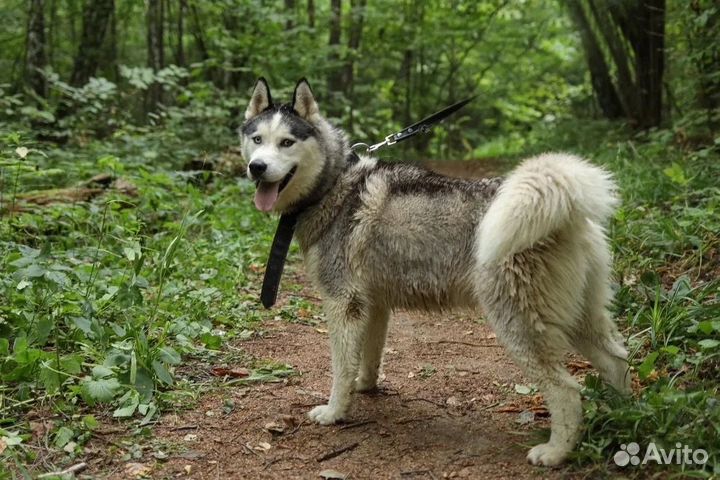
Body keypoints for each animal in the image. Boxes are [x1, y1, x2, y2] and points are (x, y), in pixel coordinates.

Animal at [242, 78, 632, 464]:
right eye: (257, 139)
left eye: (287, 142)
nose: (257, 167)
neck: (334, 183)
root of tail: (567, 212)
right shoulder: (373, 306)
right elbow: (366, 357)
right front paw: (363, 387)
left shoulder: (342, 304)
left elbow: (340, 367)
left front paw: (335, 410)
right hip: (580, 317)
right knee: (617, 361)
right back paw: (622, 419)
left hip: (519, 326)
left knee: (567, 391)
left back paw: (555, 452)